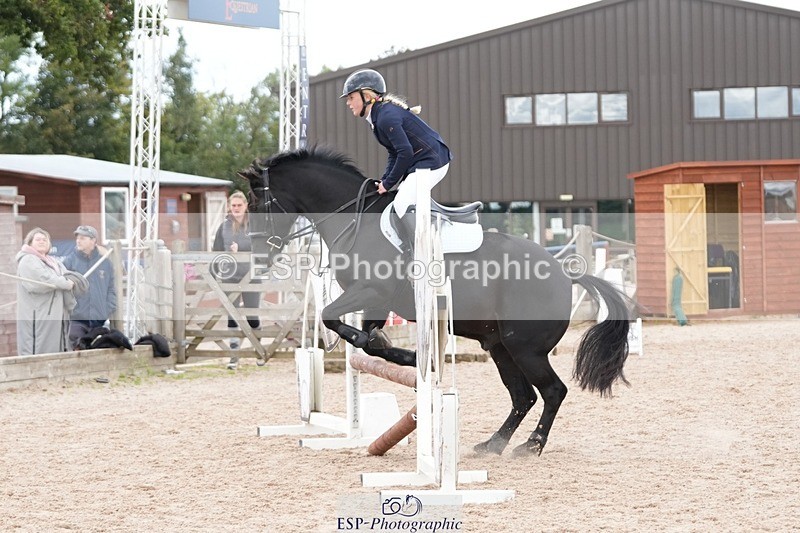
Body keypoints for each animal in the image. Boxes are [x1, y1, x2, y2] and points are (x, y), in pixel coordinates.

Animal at [239, 146, 636, 457]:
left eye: (260, 204)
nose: (258, 256)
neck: (355, 221)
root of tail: (564, 273)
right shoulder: (374, 302)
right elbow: (362, 339)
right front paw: (399, 353)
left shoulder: (371, 292)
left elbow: (334, 320)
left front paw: (402, 354)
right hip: (501, 347)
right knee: (523, 397)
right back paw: (493, 444)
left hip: (526, 349)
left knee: (552, 391)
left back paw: (531, 445)